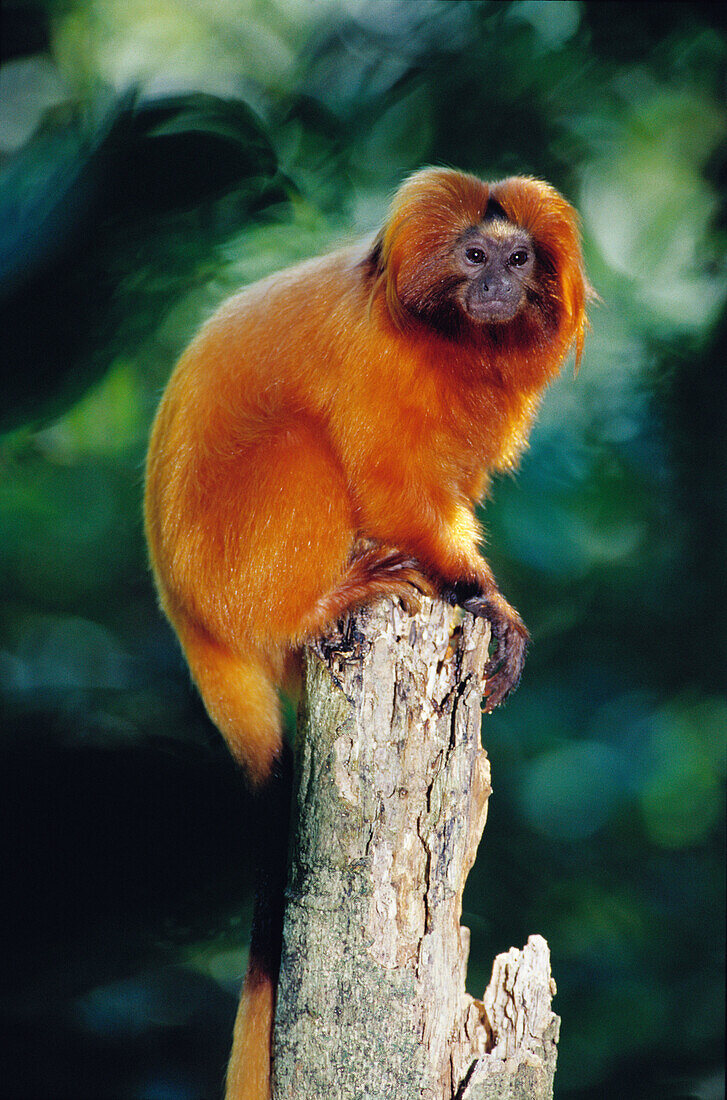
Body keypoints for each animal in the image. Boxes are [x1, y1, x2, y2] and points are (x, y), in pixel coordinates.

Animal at [142, 167, 589, 1095]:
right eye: (473, 255)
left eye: (519, 259)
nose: (498, 285)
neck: (453, 343)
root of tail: (190, 620)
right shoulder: (378, 370)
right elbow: (389, 483)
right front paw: (480, 597)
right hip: (231, 564)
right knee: (301, 445)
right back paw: (329, 600)